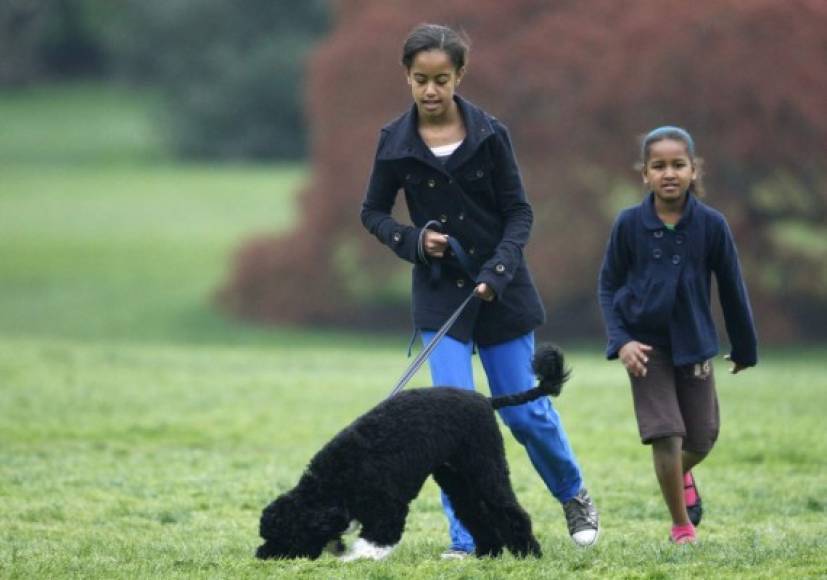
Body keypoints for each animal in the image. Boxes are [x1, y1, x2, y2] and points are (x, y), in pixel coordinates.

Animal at [258, 342, 568, 560]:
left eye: (287, 535)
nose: (262, 555)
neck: (338, 481)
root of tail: (486, 400)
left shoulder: (389, 506)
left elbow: (378, 539)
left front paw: (356, 558)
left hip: (486, 468)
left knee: (509, 510)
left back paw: (529, 553)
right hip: (458, 477)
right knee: (475, 513)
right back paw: (488, 553)